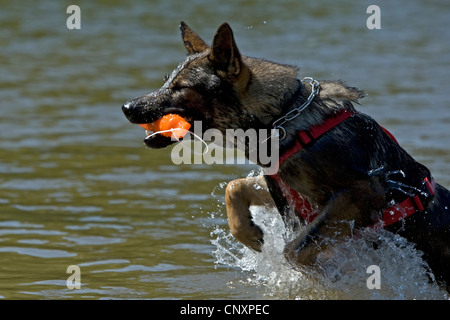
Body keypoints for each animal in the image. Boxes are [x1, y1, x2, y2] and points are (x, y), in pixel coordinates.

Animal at [122, 21, 450, 292]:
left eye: (181, 88)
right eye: (166, 81)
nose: (127, 107)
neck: (281, 118)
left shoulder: (365, 191)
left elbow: (294, 249)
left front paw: (328, 277)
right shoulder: (286, 188)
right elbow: (235, 187)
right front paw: (249, 233)